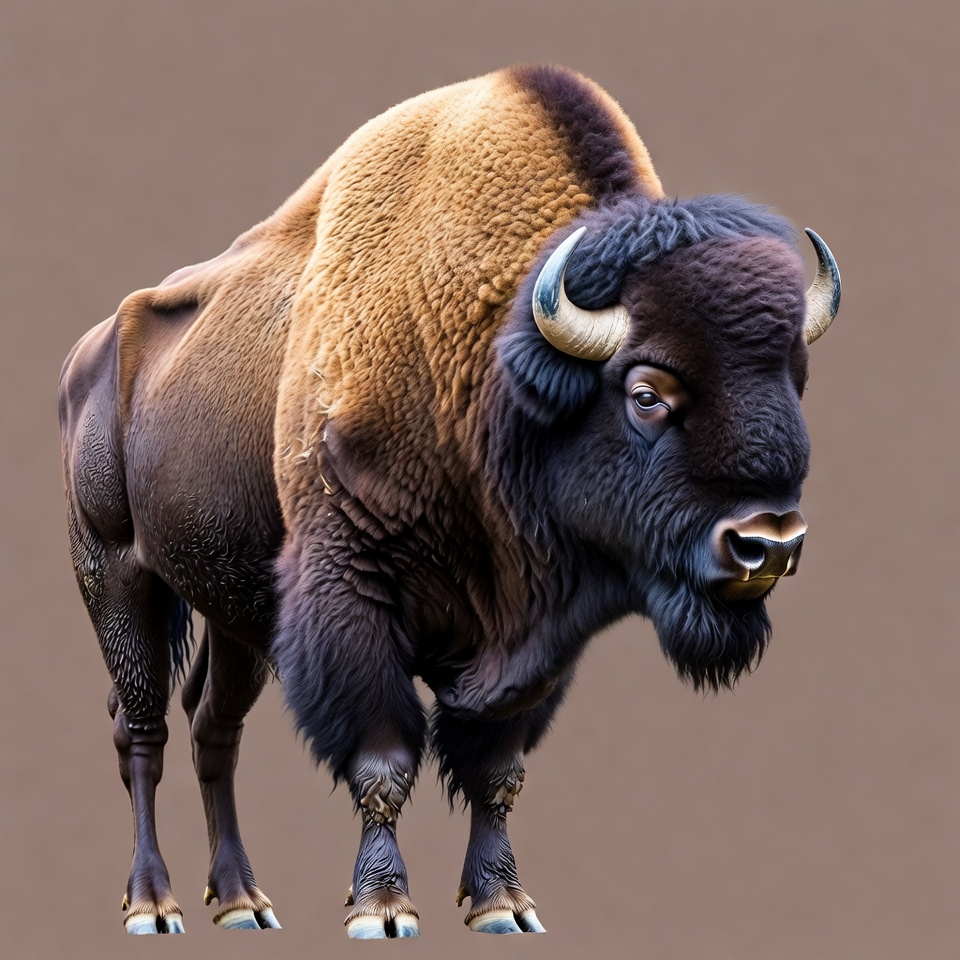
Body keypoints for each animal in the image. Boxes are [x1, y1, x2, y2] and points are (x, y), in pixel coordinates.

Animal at [59, 64, 840, 938]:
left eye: (793, 381)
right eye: (647, 393)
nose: (768, 544)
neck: (487, 367)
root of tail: (88, 352)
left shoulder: (534, 645)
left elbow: (496, 768)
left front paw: (504, 904)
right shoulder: (349, 599)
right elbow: (384, 760)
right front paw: (382, 909)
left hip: (234, 612)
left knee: (212, 727)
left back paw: (241, 902)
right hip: (115, 577)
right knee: (143, 728)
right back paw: (151, 904)